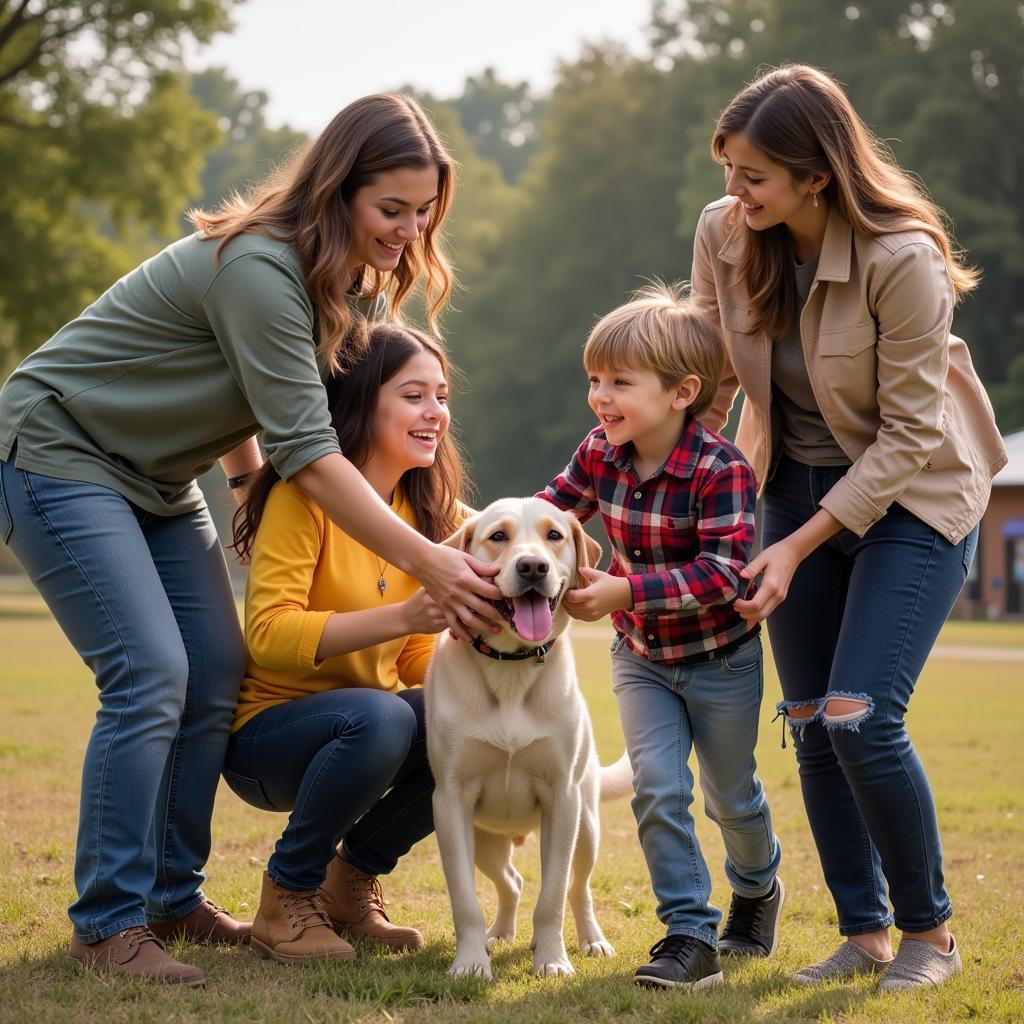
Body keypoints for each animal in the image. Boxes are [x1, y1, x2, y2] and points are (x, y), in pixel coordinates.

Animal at [425, 499, 630, 978]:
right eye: (497, 536)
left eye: (554, 535)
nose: (533, 566)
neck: (512, 667)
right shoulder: (450, 801)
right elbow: (464, 901)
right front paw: (470, 962)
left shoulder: (562, 798)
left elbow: (553, 896)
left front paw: (552, 959)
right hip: (486, 841)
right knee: (512, 883)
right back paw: (497, 935)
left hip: (586, 828)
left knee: (578, 888)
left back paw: (591, 940)